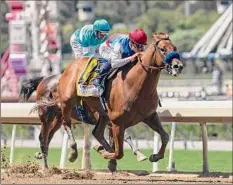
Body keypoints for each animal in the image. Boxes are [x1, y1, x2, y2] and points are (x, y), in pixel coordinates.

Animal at [55, 32, 184, 171]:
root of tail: (72, 64)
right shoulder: (117, 122)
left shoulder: (149, 116)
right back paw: (74, 152)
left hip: (103, 113)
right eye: (162, 49)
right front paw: (106, 154)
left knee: (97, 132)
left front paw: (155, 156)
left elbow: (165, 136)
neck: (134, 85)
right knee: (66, 123)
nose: (178, 66)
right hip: (67, 102)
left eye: (174, 48)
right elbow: (119, 153)